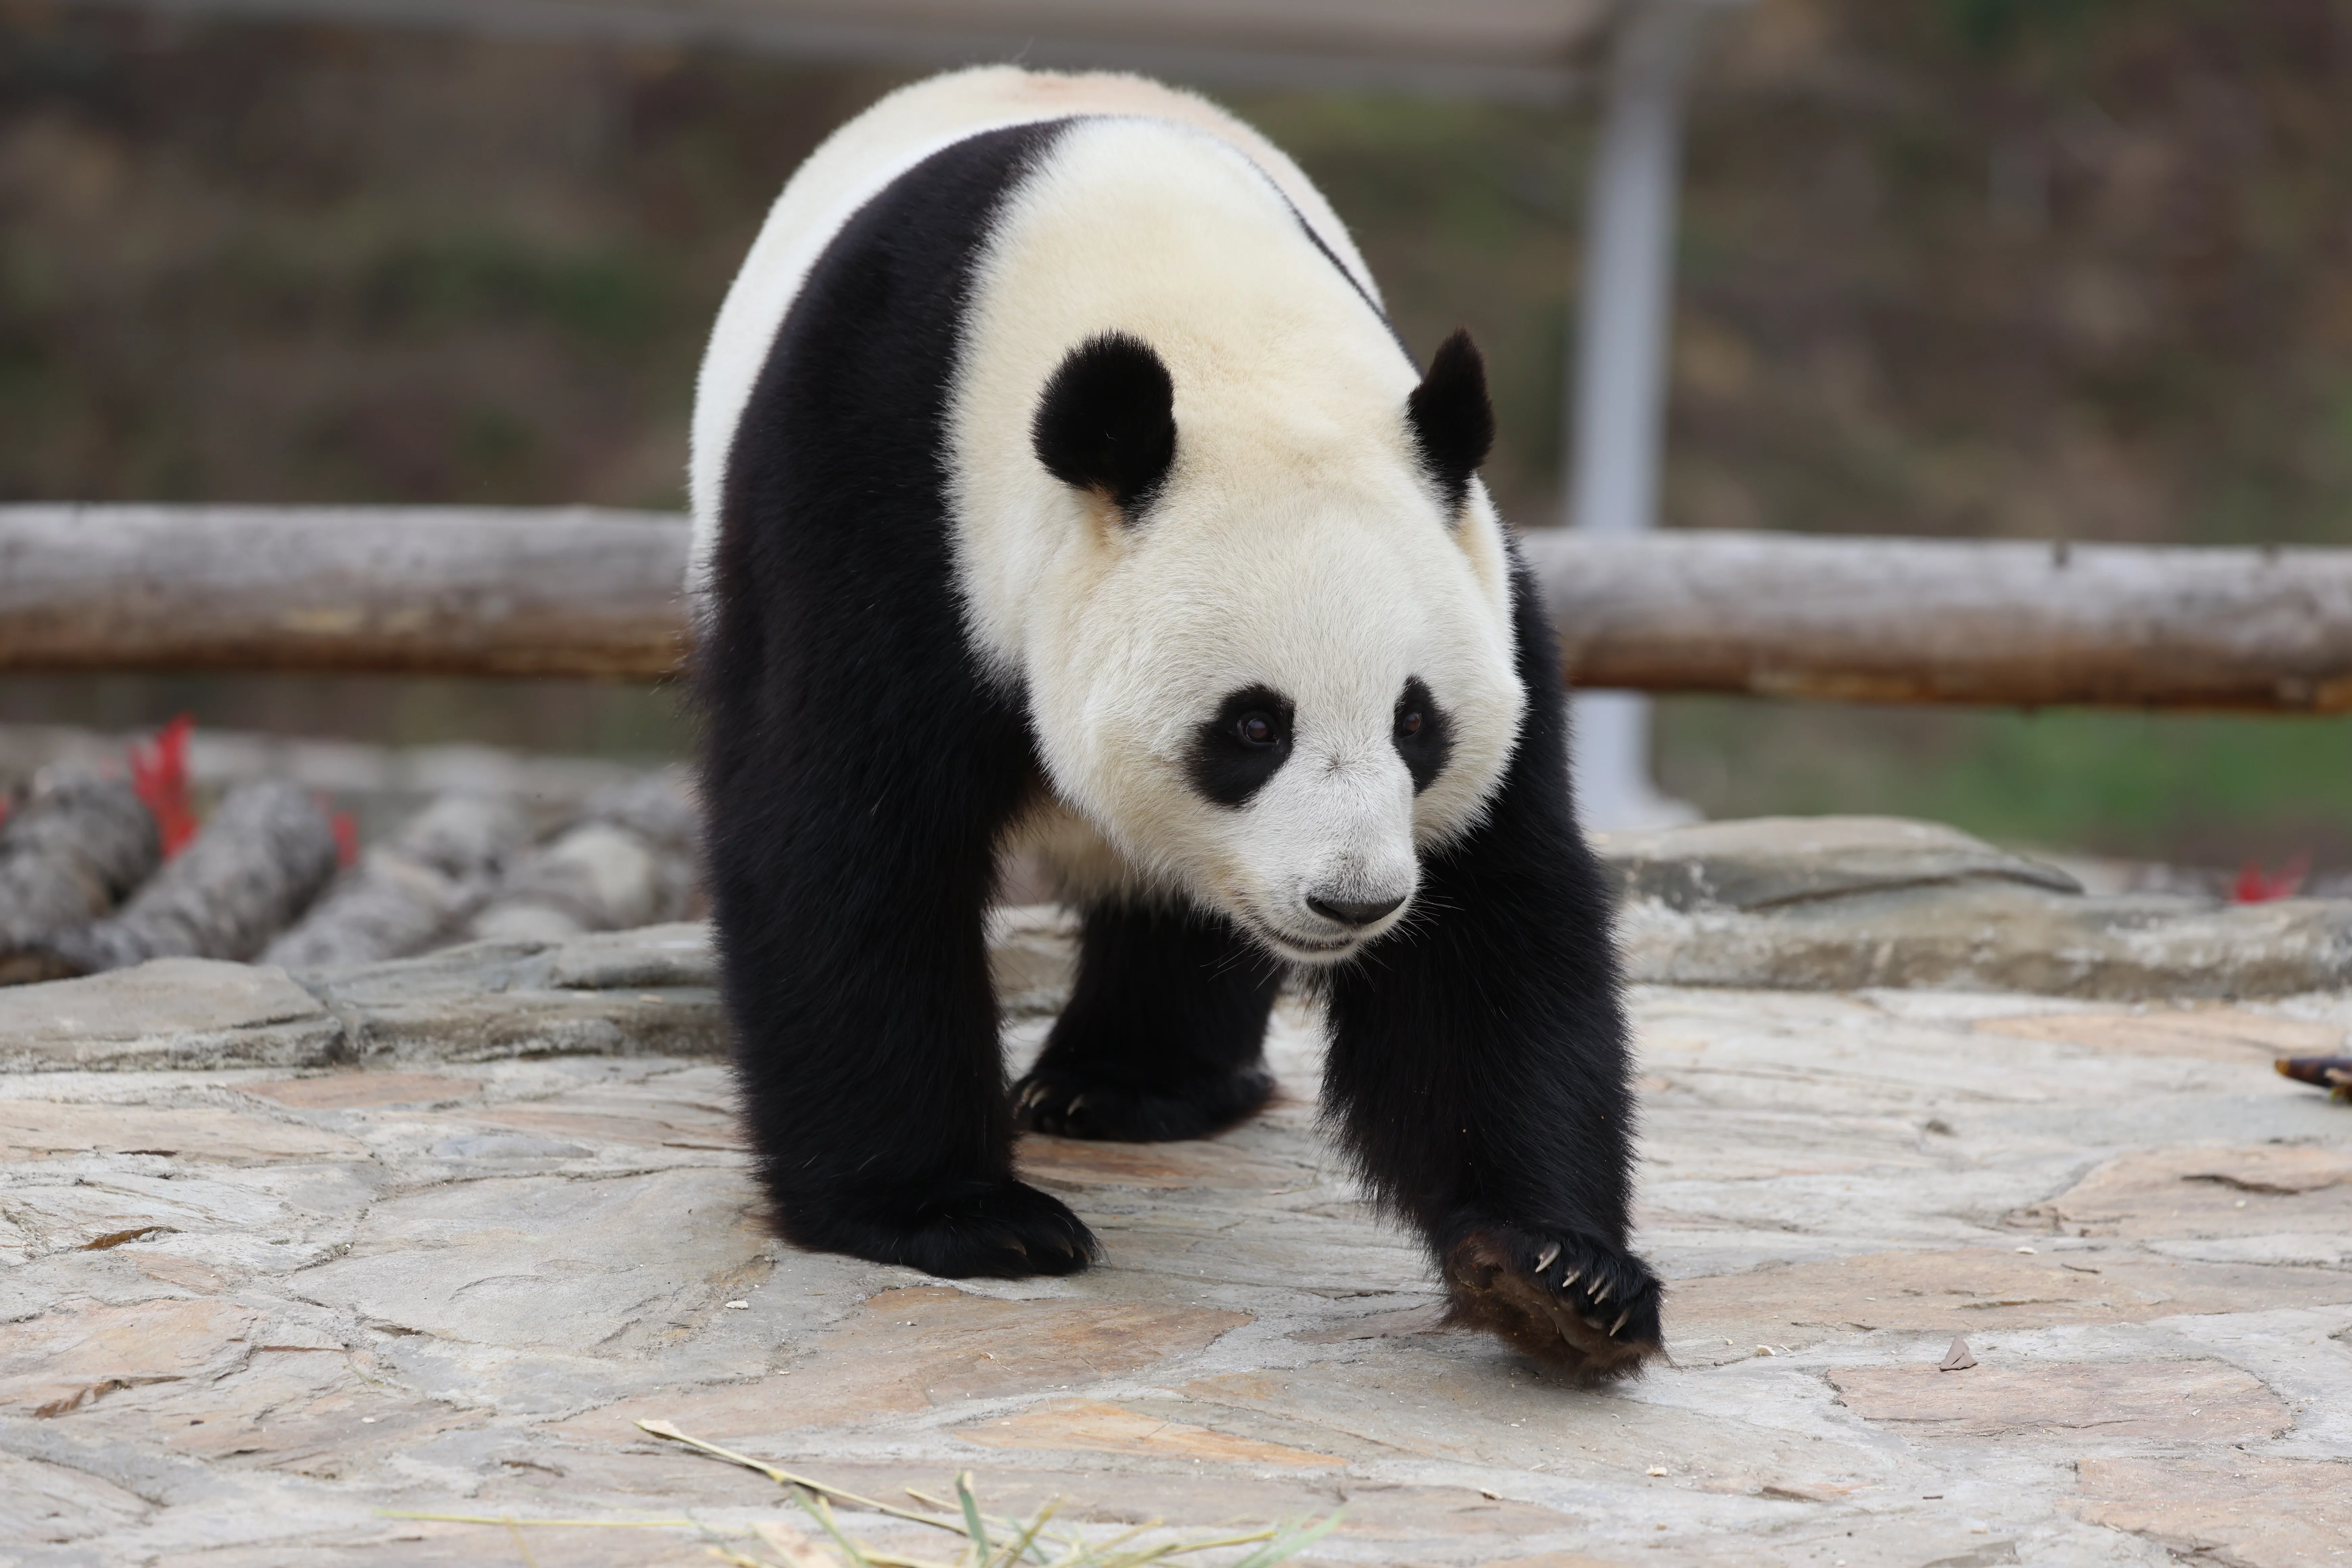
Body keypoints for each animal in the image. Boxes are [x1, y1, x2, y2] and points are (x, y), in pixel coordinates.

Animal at [691, 66, 1660, 1380]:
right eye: (1252, 728)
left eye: (1416, 723)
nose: (1352, 901)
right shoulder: (882, 489)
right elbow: (845, 839)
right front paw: (958, 1216)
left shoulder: (1478, 577)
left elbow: (1492, 930)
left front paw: (1556, 1274)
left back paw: (1127, 1087)